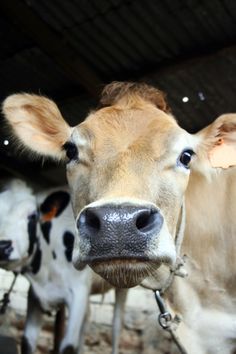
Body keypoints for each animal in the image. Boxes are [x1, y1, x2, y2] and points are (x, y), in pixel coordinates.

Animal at [0, 180, 127, 354]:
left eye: (32, 216)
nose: (2, 246)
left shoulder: (78, 293)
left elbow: (68, 346)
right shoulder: (35, 295)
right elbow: (27, 342)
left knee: (116, 325)